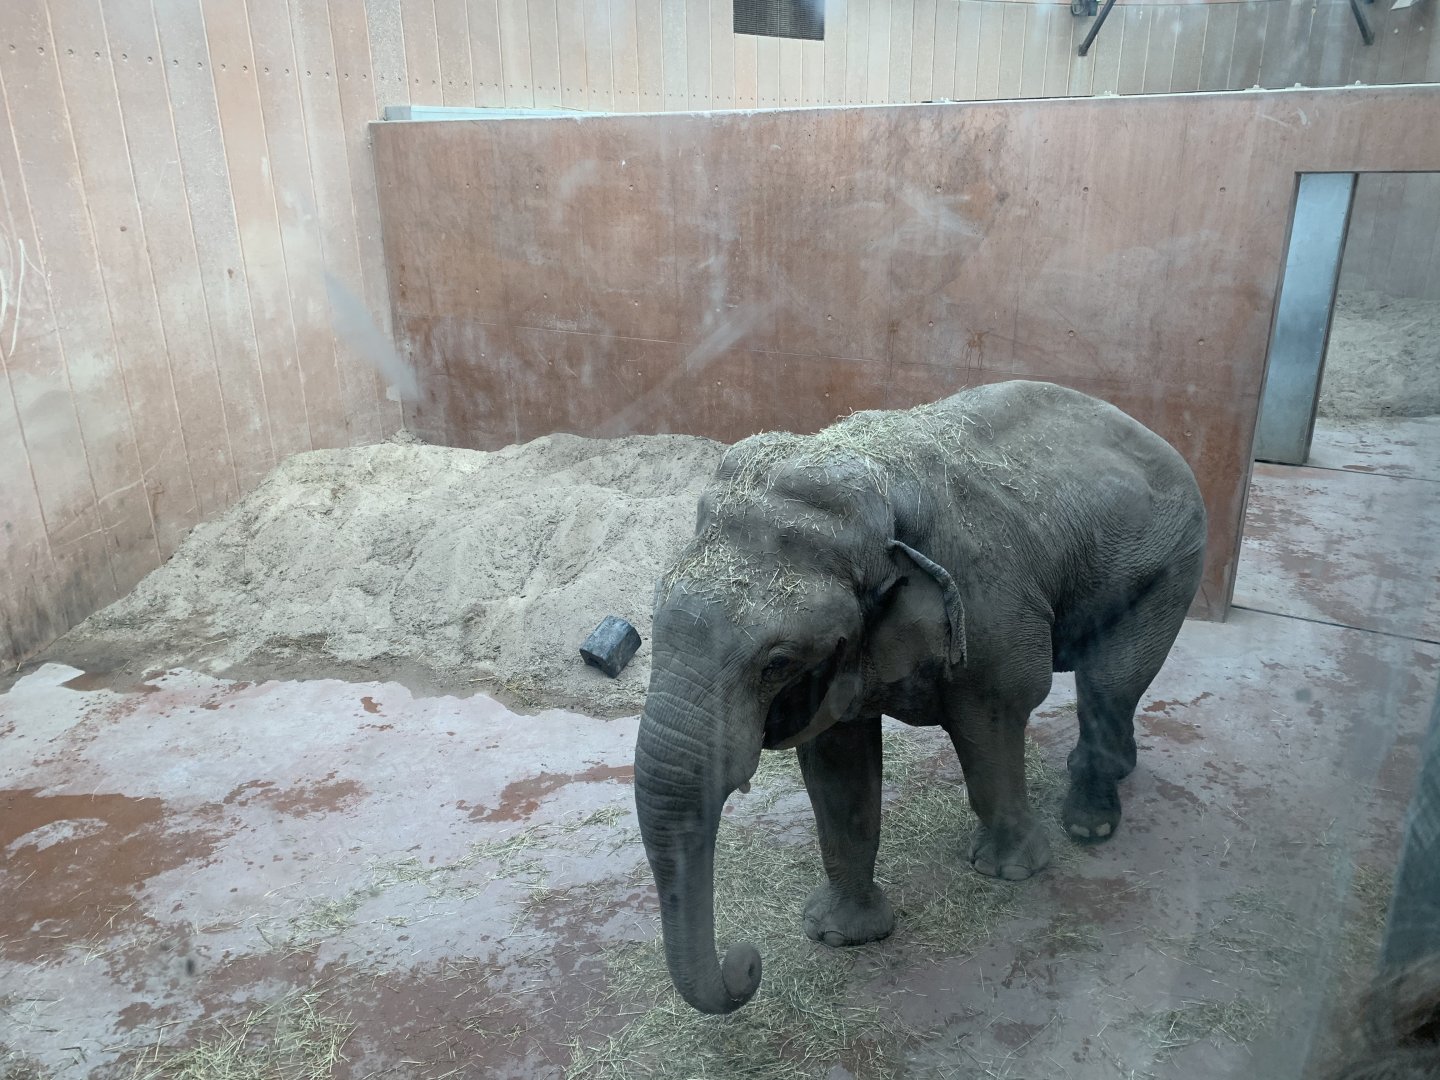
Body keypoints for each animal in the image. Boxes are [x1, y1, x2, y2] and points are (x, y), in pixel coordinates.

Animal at [632, 379, 1207, 1015]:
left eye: (775, 662)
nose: (747, 962)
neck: (882, 482)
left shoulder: (988, 603)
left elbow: (994, 718)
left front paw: (1009, 873)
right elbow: (838, 766)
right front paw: (841, 935)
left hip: (1170, 560)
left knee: (1110, 682)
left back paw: (1089, 824)